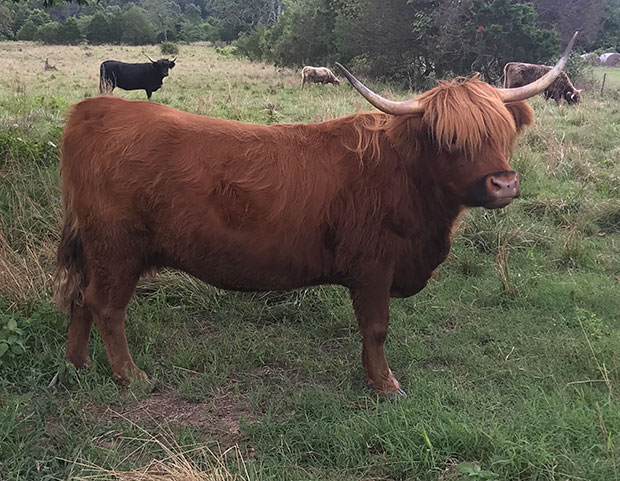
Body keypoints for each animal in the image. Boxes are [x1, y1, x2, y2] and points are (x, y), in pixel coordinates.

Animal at [55, 32, 580, 394]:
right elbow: (377, 328)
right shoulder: (373, 267)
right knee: (106, 306)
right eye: (451, 139)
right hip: (117, 248)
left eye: (501, 132)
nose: (504, 184)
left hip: (96, 248)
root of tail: (90, 111)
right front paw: (384, 385)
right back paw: (131, 375)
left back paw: (79, 364)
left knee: (80, 299)